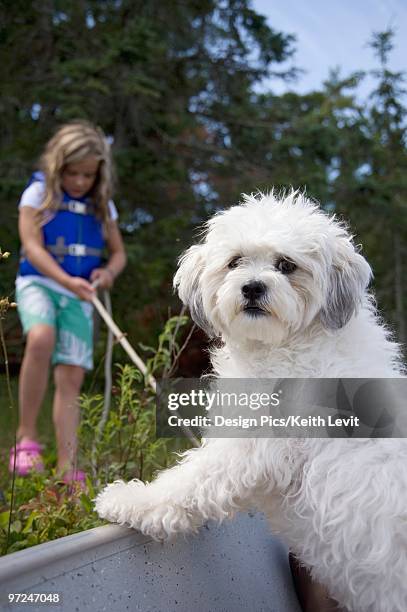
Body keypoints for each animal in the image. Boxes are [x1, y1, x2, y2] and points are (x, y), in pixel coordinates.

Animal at [96, 192, 407, 612]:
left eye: (286, 265)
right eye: (235, 261)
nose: (253, 287)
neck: (292, 345)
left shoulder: (248, 447)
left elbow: (186, 484)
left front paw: (127, 499)